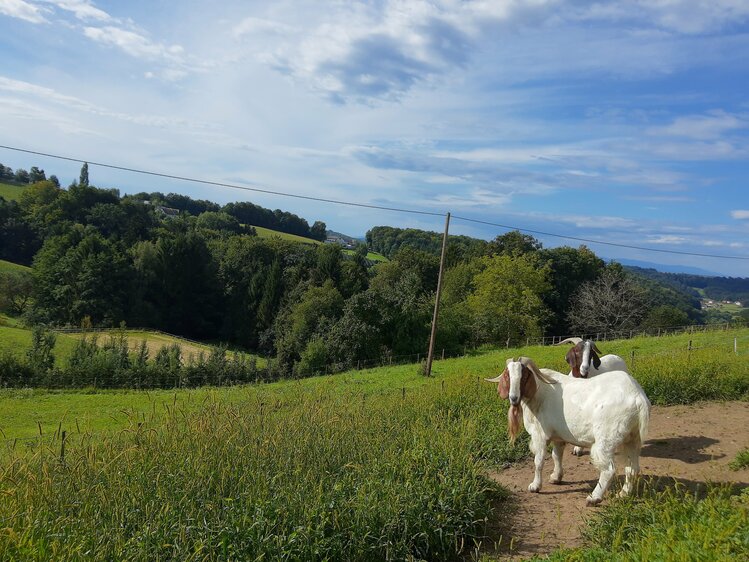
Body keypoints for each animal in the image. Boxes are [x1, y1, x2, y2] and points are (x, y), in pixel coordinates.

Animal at [486, 356, 648, 506]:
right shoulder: (558, 436)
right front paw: (556, 477)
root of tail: (638, 398)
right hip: (633, 438)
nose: (513, 398)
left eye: (524, 376)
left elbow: (538, 461)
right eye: (507, 375)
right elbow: (556, 456)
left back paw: (594, 497)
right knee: (632, 468)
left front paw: (535, 486)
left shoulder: (540, 435)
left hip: (606, 439)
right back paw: (623, 494)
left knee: (609, 469)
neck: (539, 393)